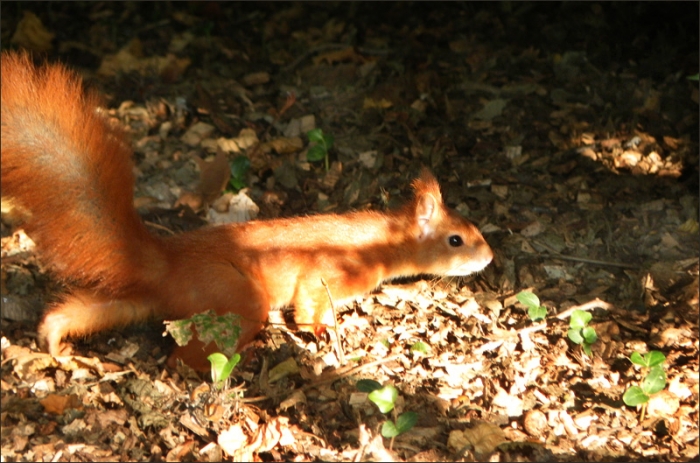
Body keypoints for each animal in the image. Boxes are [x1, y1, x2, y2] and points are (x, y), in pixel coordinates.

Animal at [1, 51, 494, 370]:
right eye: (456, 239)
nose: (489, 257)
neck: (380, 242)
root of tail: (167, 263)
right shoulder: (327, 274)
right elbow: (309, 305)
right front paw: (321, 333)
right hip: (236, 296)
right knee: (185, 356)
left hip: (142, 300)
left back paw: (54, 332)